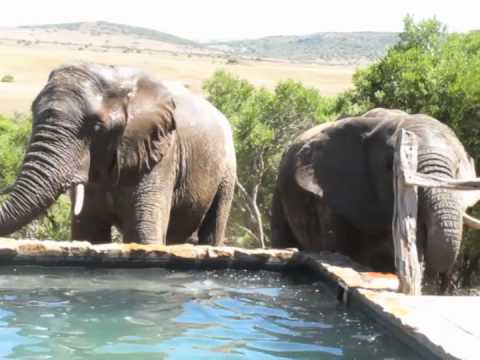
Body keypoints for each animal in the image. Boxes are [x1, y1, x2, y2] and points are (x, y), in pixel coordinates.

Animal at [0, 64, 237, 245]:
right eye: (32, 114)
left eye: (96, 127)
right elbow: (89, 234)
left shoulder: (162, 154)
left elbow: (143, 235)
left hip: (227, 170)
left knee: (213, 229)